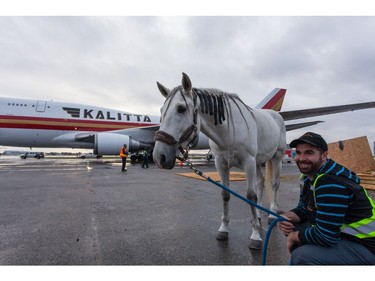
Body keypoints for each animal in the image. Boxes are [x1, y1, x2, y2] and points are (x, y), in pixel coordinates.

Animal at [151, 73, 286, 248]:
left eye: (181, 108)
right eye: (161, 111)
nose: (159, 157)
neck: (229, 131)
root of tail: (276, 114)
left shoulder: (248, 162)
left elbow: (250, 196)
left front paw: (255, 236)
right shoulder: (221, 163)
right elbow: (225, 194)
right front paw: (223, 229)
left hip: (277, 157)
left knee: (274, 184)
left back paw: (272, 214)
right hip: (258, 161)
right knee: (261, 183)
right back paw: (258, 215)